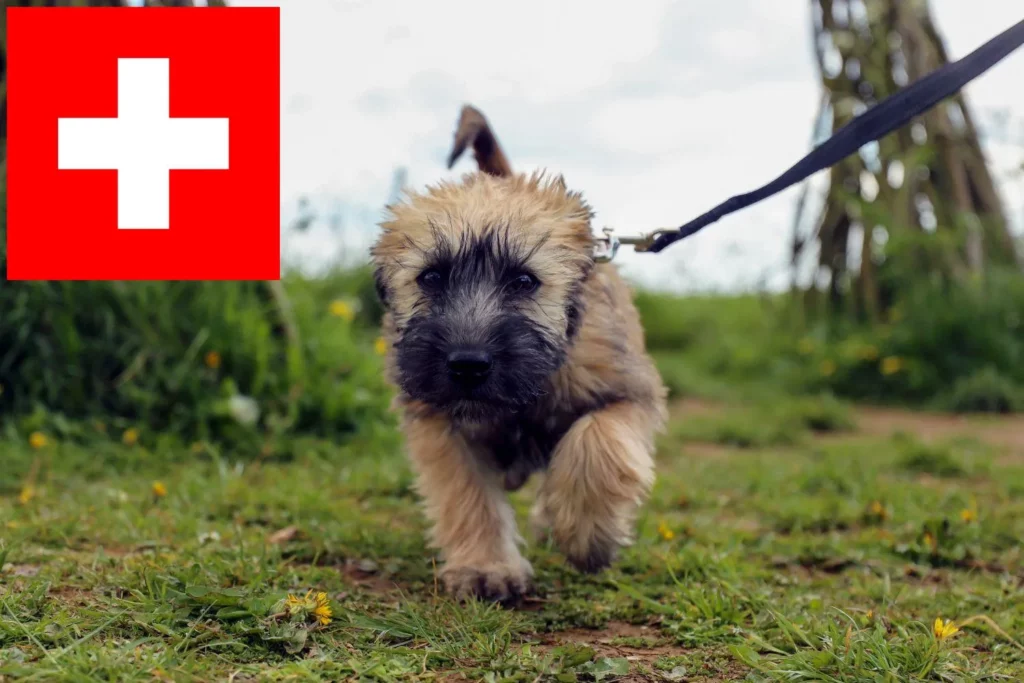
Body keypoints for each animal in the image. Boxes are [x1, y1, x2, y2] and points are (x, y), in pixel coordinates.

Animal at [372, 104, 667, 602]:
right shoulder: (441, 424)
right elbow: (466, 493)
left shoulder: (628, 392)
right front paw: (486, 567)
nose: (468, 364)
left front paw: (588, 536)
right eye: (430, 277)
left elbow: (596, 442)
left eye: (525, 281)